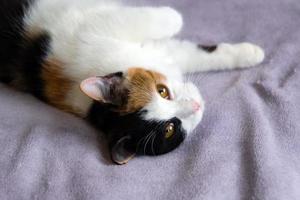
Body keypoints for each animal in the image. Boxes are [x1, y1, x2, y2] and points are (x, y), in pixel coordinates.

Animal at [0, 0, 264, 164]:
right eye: (170, 129)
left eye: (162, 91)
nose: (196, 106)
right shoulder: (91, 30)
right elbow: (164, 23)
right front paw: (174, 16)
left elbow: (199, 54)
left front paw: (252, 53)